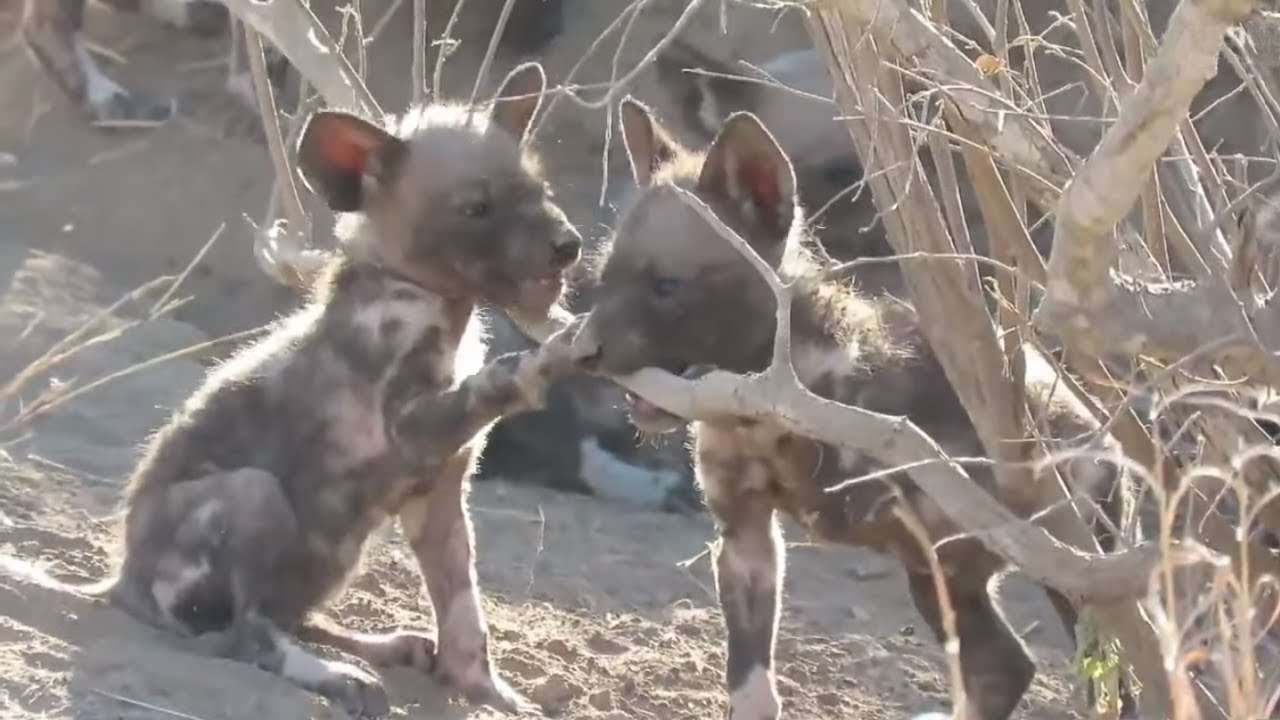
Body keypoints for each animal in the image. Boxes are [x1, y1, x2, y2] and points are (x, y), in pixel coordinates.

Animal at [0, 63, 581, 717]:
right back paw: (335, 674)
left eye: (538, 190)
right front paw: (552, 359)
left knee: (284, 618)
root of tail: (119, 583)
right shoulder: (411, 429)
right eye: (476, 208)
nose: (569, 245)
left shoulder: (440, 495)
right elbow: (496, 380)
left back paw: (378, 646)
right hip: (253, 496)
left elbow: (466, 618)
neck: (432, 304)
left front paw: (487, 693)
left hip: (325, 559)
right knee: (248, 635)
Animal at [573, 99, 1131, 717]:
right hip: (939, 580)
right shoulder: (746, 540)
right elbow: (750, 686)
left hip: (1070, 577)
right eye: (604, 280)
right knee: (1004, 668)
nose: (581, 352)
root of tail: (1101, 432)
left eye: (667, 287)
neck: (766, 403)